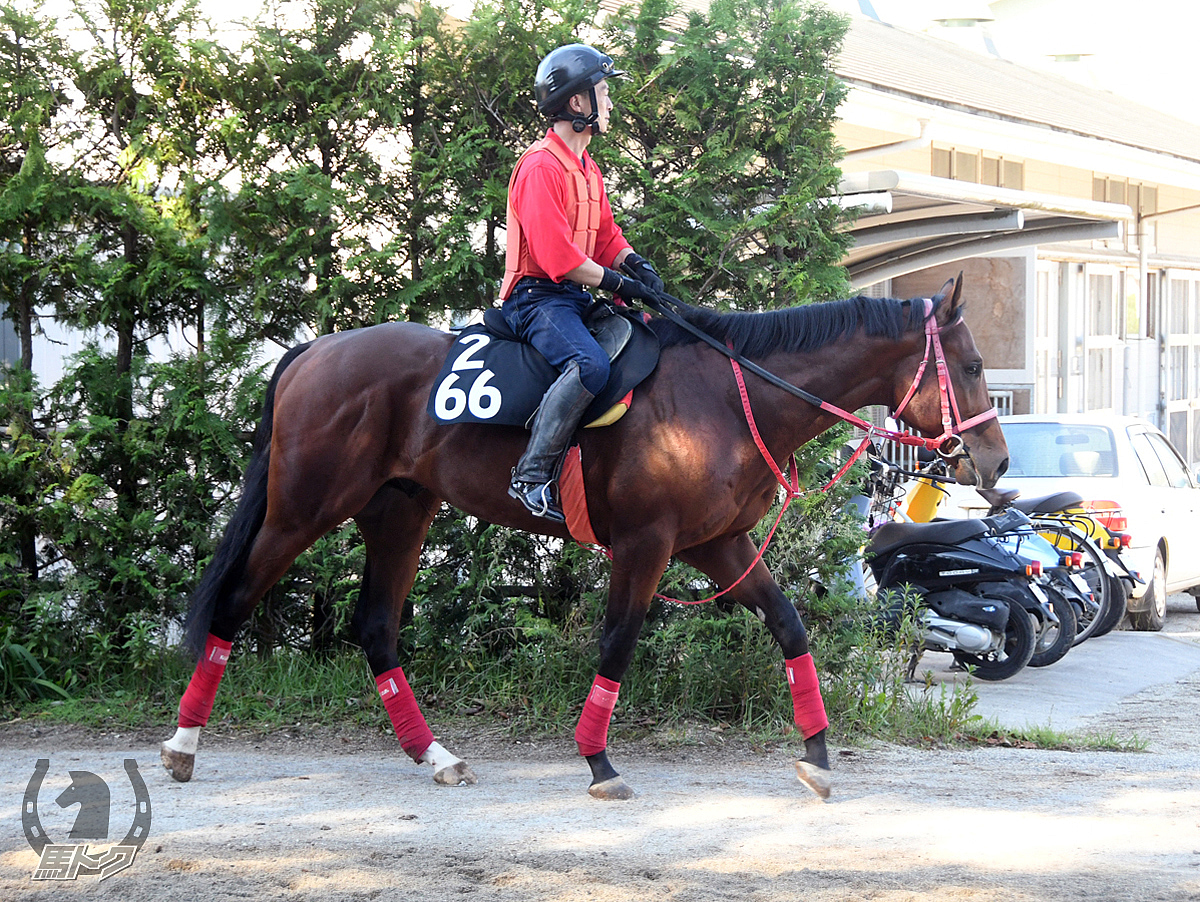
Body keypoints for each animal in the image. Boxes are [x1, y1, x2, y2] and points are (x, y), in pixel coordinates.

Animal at [157, 273, 1003, 796]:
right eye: (970, 364)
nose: (995, 461)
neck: (728, 394)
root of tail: (315, 350)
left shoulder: (719, 544)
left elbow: (791, 628)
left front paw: (819, 755)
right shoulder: (647, 544)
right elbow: (618, 643)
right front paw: (598, 760)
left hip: (399, 513)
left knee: (376, 628)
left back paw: (436, 754)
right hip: (303, 509)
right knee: (234, 603)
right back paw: (182, 744)